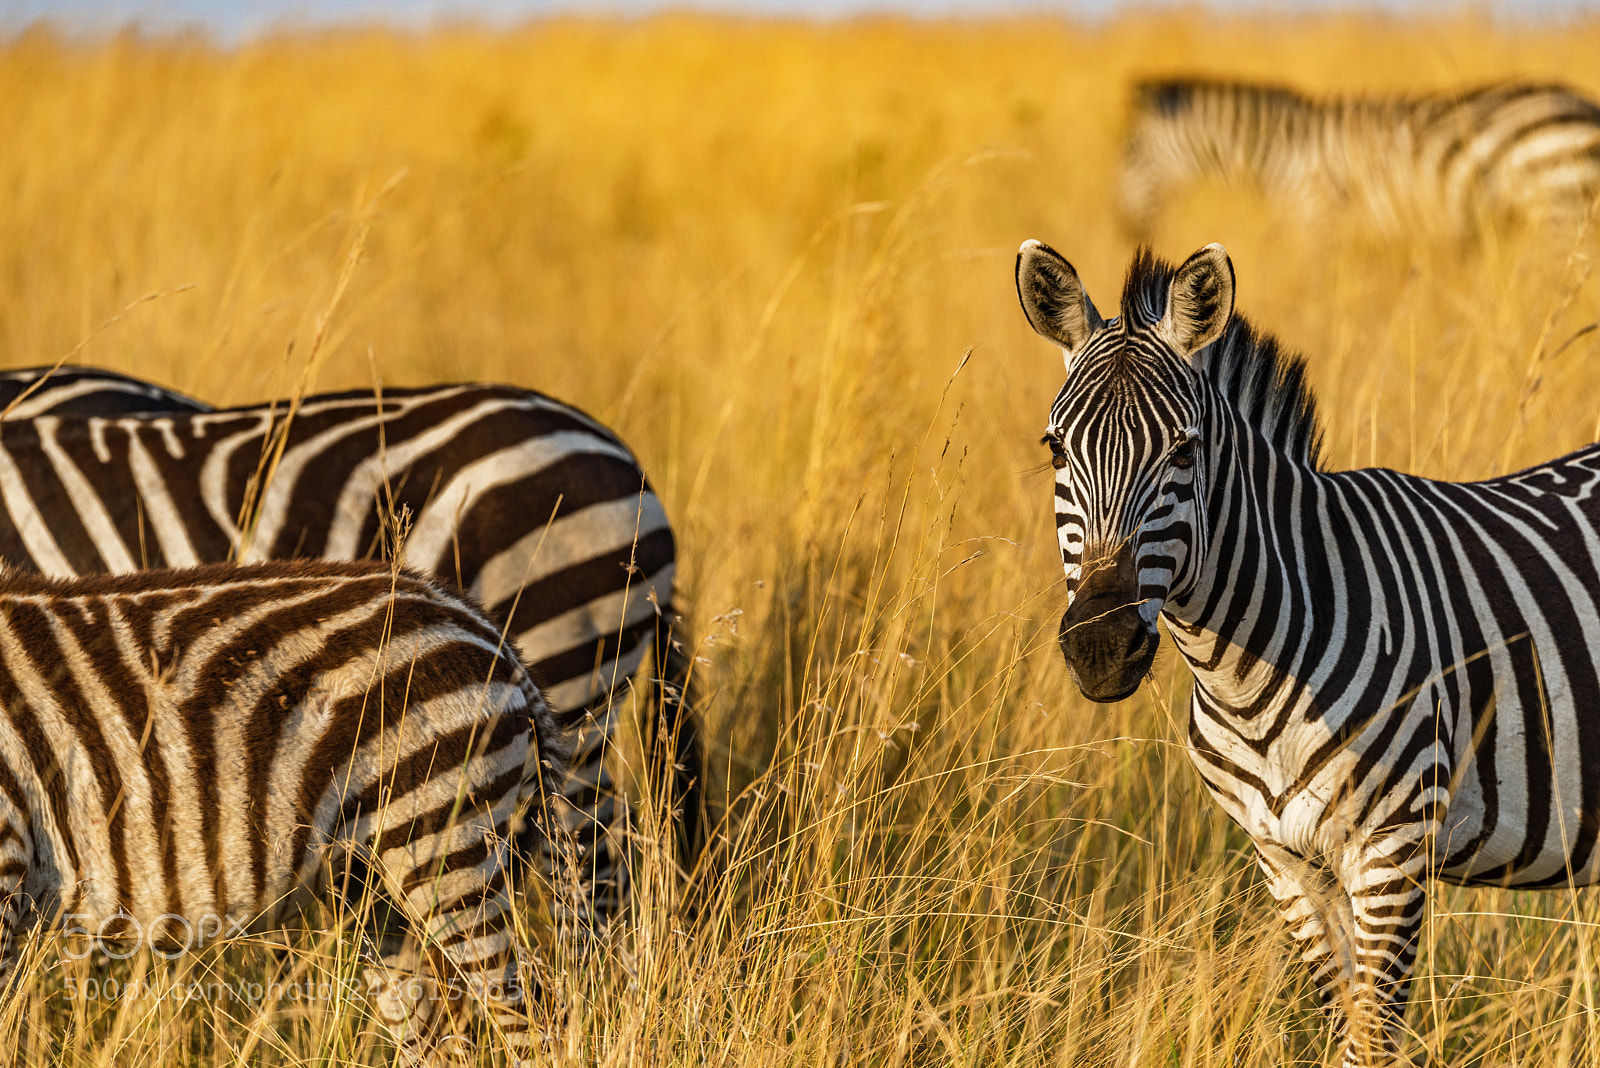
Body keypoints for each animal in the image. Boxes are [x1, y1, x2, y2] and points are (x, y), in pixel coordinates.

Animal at [1018, 239, 1600, 1066]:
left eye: (1185, 450)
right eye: (1056, 448)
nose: (1101, 645)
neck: (1243, 674)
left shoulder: (1390, 852)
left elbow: (1369, 1045)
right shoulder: (1285, 863)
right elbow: (1339, 1025)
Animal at [1118, 78, 1600, 236]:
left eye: (1131, 152)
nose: (1125, 229)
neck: (1281, 149)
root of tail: (1585, 103)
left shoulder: (1317, 214)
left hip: (1560, 210)